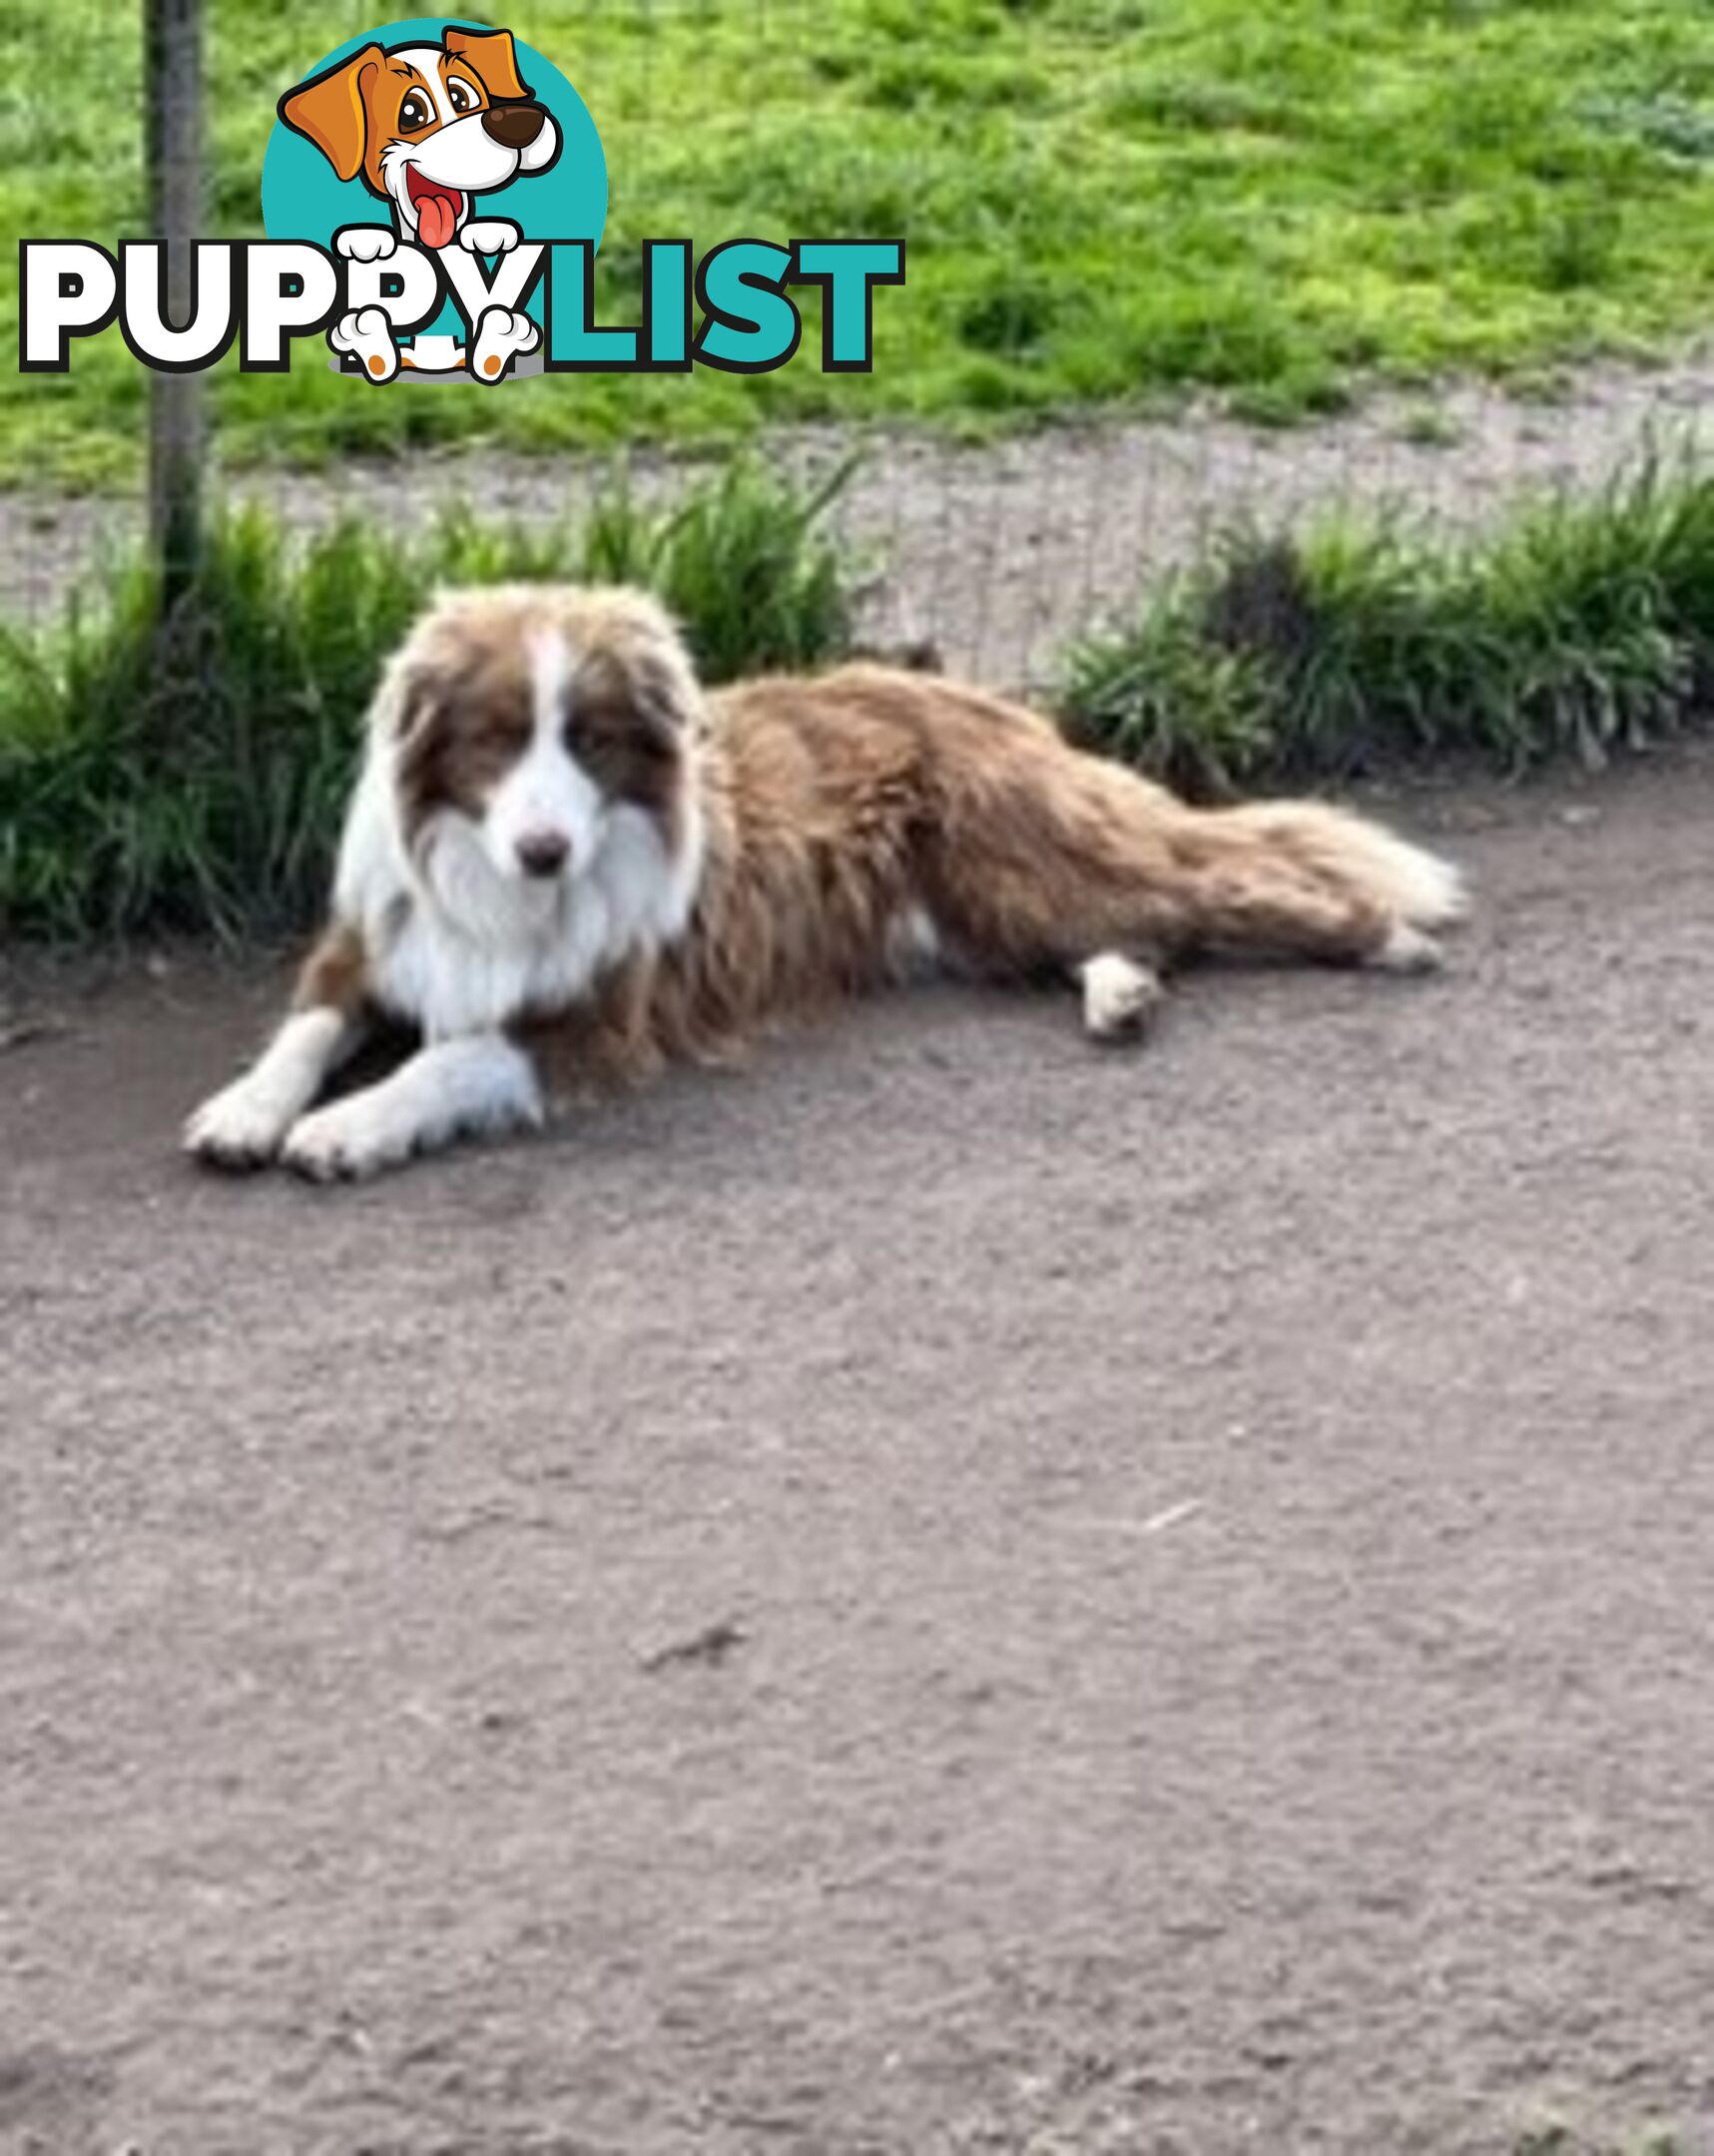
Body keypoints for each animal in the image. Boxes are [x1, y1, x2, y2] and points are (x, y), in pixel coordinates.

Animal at [187, 586, 1465, 1181]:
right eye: (497, 739)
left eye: (589, 741)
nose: (545, 851)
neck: (502, 889)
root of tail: (983, 697)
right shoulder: (371, 941)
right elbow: (302, 1030)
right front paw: (247, 1109)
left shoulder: (600, 1021)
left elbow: (445, 1060)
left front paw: (347, 1128)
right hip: (990, 912)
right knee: (1136, 936)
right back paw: (1120, 996)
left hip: (1025, 868)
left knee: (1228, 892)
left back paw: (1385, 937)